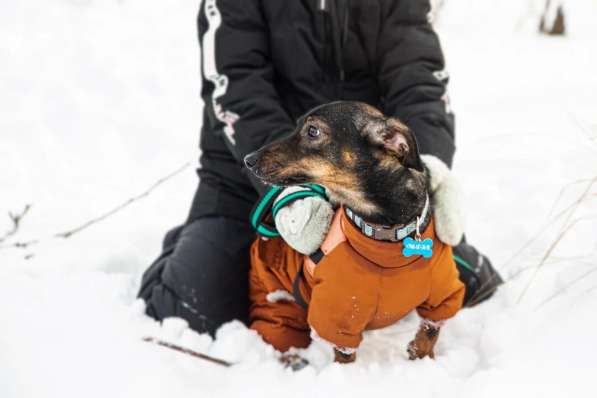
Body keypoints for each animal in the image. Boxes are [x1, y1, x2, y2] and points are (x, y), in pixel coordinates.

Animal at [243, 101, 466, 366]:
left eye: (313, 131)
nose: (248, 159)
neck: (387, 240)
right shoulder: (338, 317)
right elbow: (345, 356)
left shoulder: (441, 296)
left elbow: (429, 332)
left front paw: (421, 358)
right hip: (277, 306)